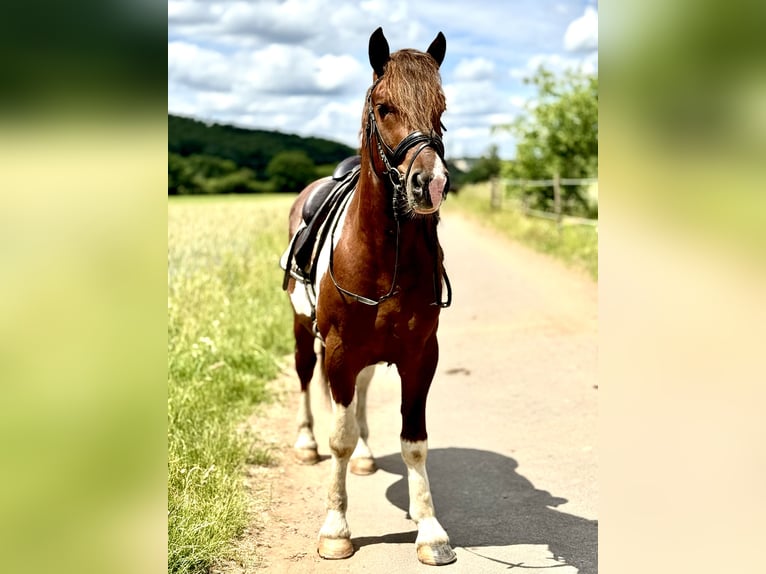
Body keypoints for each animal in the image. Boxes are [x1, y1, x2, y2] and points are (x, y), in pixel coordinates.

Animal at [280, 27, 455, 566]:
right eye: (384, 107)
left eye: (441, 108)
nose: (430, 183)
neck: (383, 251)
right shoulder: (338, 349)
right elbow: (338, 436)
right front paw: (336, 528)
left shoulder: (419, 354)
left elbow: (414, 440)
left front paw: (430, 530)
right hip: (304, 331)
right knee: (305, 378)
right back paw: (305, 442)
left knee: (360, 391)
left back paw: (363, 457)